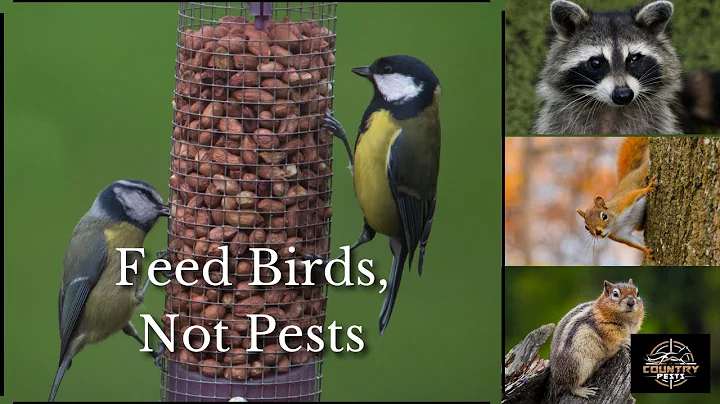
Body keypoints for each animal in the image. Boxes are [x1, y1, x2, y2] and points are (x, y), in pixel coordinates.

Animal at [532, 0, 683, 134]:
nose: (623, 95)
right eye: (596, 62)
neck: (610, 109)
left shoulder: (658, 123)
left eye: (634, 59)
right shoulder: (557, 123)